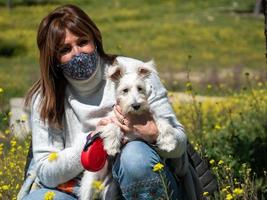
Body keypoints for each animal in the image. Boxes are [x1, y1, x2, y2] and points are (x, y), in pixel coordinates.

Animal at [80, 58, 179, 199]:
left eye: (140, 88)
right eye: (125, 90)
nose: (136, 105)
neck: (133, 115)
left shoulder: (153, 118)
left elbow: (164, 124)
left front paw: (169, 143)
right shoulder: (111, 120)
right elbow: (112, 127)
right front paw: (112, 146)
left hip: (111, 190)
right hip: (90, 184)